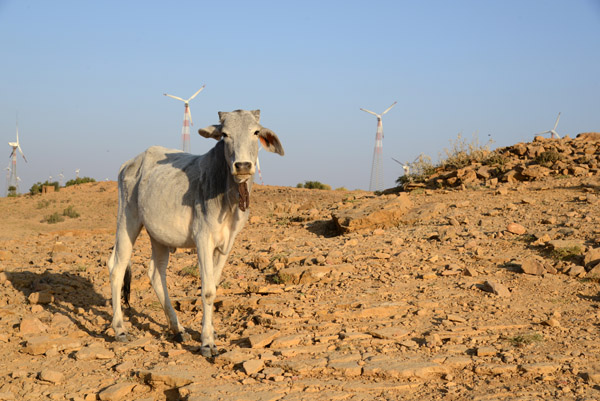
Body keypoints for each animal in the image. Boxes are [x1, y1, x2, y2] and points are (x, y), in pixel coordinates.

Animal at [106, 108, 284, 354]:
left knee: (155, 273)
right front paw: (207, 342)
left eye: (256, 132)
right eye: (225, 135)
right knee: (117, 268)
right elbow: (207, 290)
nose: (243, 166)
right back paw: (120, 329)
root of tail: (130, 162)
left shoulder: (226, 245)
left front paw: (209, 332)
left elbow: (214, 286)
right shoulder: (203, 239)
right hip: (127, 220)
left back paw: (177, 329)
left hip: (159, 236)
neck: (229, 197)